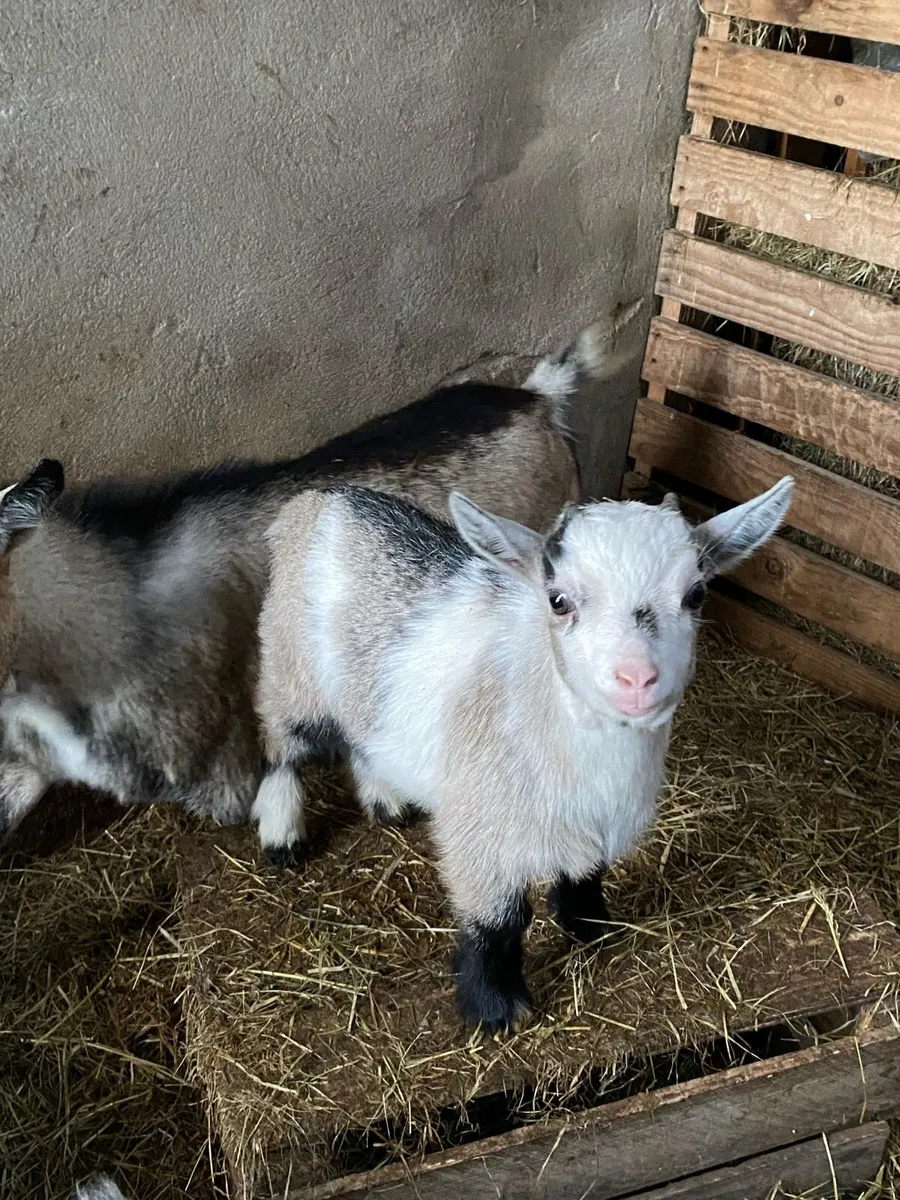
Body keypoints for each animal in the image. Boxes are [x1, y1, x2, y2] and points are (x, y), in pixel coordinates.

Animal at [254, 477, 793, 1030]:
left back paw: (386, 801)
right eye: (558, 601)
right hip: (289, 669)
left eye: (696, 593)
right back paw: (282, 835)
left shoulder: (595, 821)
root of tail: (321, 500)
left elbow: (585, 874)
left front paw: (592, 929)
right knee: (280, 746)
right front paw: (495, 1007)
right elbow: (499, 920)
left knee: (362, 736)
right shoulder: (478, 831)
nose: (637, 678)